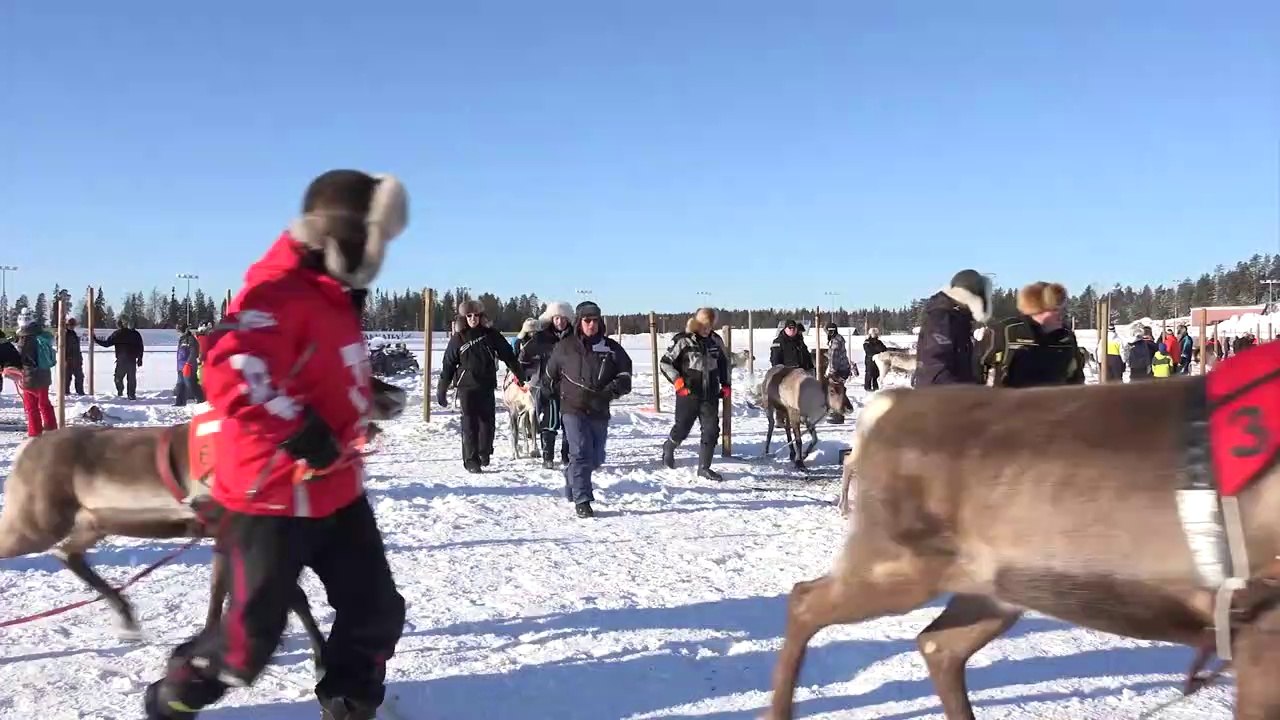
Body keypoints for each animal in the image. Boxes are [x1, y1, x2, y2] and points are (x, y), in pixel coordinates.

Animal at [0, 377, 407, 678]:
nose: (399, 395)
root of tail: (26, 450)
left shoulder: (225, 536)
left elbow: (221, 593)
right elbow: (293, 598)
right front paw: (321, 658)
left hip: (91, 522)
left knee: (68, 554)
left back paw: (127, 616)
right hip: (36, 523)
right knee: (51, 549)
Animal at [773, 371, 1280, 720]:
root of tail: (884, 409)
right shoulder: (1260, 632)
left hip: (993, 589)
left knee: (937, 644)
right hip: (898, 564)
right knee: (803, 598)